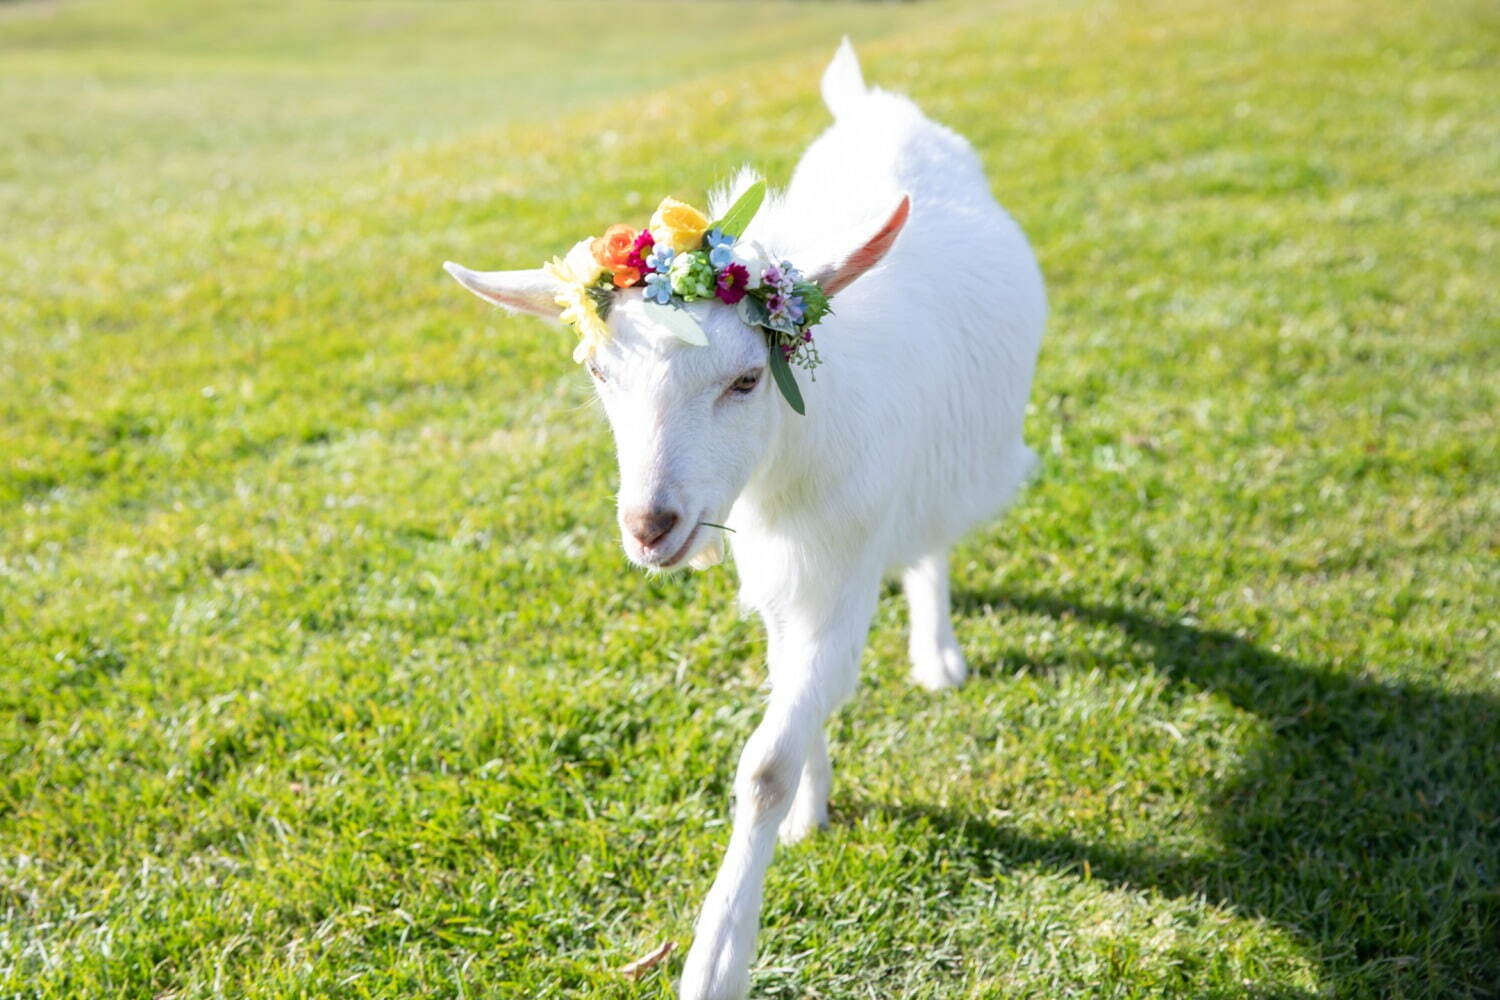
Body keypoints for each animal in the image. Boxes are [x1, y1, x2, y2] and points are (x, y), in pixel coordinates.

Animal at [438, 39, 1038, 1000]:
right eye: (598, 374)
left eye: (748, 379)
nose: (650, 525)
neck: (785, 462)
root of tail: (875, 109)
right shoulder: (779, 569)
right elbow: (791, 685)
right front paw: (811, 807)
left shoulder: (844, 567)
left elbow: (763, 761)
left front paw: (717, 956)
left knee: (934, 541)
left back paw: (937, 653)